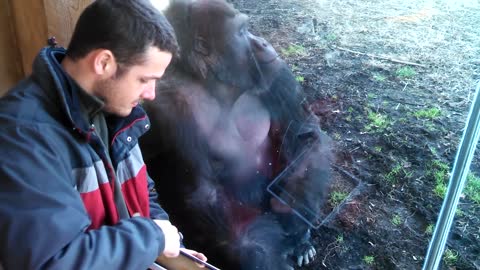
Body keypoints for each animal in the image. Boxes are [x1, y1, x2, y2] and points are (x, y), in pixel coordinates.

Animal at [141, 1, 332, 268]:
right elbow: (206, 194)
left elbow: (304, 135)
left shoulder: (275, 70)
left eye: (247, 28)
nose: (262, 43)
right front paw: (260, 257)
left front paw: (295, 221)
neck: (218, 86)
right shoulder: (170, 104)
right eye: (241, 32)